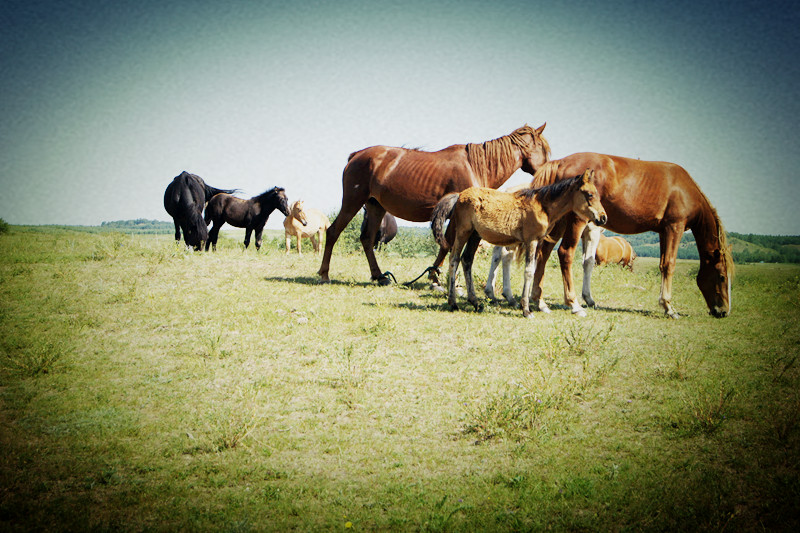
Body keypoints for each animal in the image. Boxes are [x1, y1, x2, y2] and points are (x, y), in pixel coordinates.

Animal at [318, 124, 552, 284]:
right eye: (544, 149)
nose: (547, 175)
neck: (476, 165)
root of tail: (356, 155)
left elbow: (446, 245)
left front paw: (434, 274)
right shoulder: (457, 216)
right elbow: (448, 245)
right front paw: (436, 276)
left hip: (376, 207)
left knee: (367, 240)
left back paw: (379, 276)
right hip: (352, 202)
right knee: (333, 232)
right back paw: (324, 274)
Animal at [432, 169, 608, 316]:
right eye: (589, 194)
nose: (603, 217)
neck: (542, 207)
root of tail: (459, 196)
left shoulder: (538, 241)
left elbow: (534, 269)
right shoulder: (531, 240)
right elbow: (529, 271)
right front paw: (526, 310)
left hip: (475, 235)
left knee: (467, 260)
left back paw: (475, 303)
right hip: (463, 232)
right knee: (454, 259)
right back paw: (453, 303)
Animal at [528, 153, 736, 320]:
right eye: (722, 276)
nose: (724, 311)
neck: (685, 190)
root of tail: (560, 163)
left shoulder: (663, 232)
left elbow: (662, 264)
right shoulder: (674, 227)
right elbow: (670, 265)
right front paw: (669, 307)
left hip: (561, 221)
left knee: (544, 252)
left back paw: (539, 301)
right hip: (576, 221)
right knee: (565, 253)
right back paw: (573, 304)